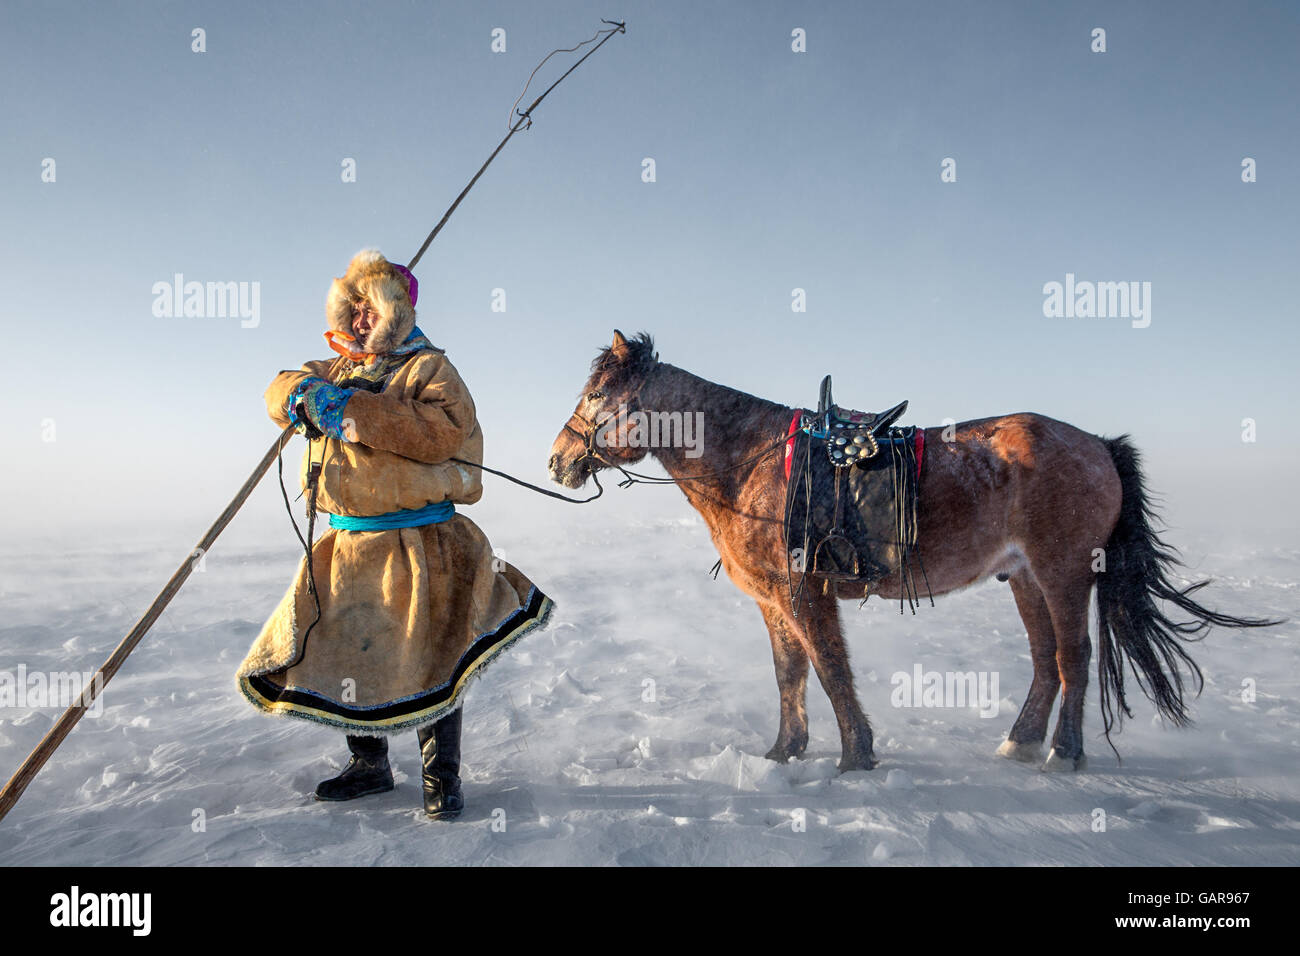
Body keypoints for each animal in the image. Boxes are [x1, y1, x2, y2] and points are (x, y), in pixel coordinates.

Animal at [546, 332, 1279, 775]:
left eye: (597, 395)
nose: (557, 461)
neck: (748, 461)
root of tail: (1098, 444)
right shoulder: (774, 599)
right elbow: (790, 674)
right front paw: (784, 753)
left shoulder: (803, 593)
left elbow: (830, 670)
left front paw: (854, 757)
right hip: (1023, 579)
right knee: (1046, 661)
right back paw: (1020, 742)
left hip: (1063, 572)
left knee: (1073, 657)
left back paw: (1064, 754)